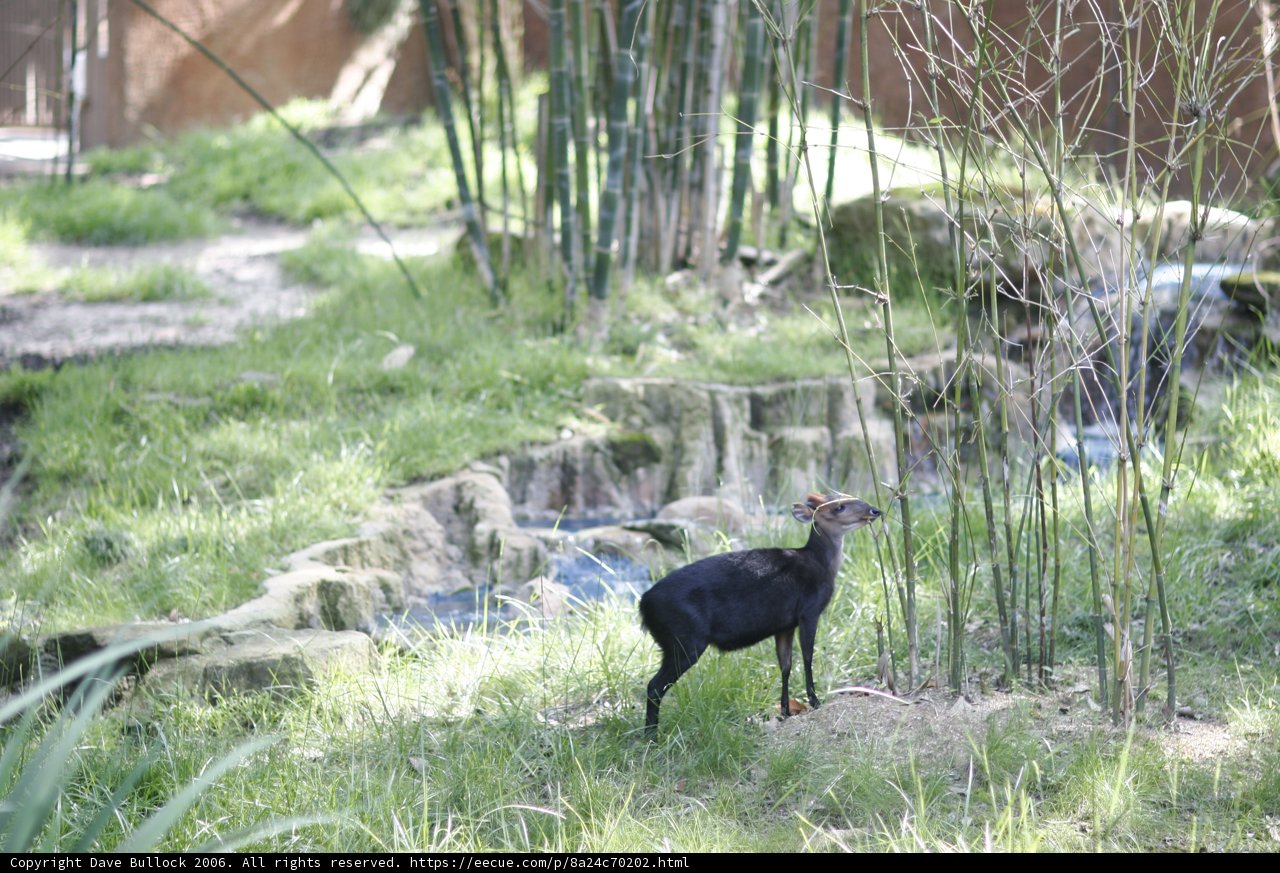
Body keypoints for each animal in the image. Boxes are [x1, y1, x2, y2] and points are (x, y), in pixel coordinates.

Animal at [638, 491, 881, 737]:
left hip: (673, 643)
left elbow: (785, 665)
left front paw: (785, 711)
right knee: (654, 686)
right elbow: (807, 656)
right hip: (684, 640)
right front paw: (814, 701)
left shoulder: (785, 625)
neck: (821, 564)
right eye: (839, 507)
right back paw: (652, 737)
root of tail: (644, 605)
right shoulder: (809, 611)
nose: (875, 510)